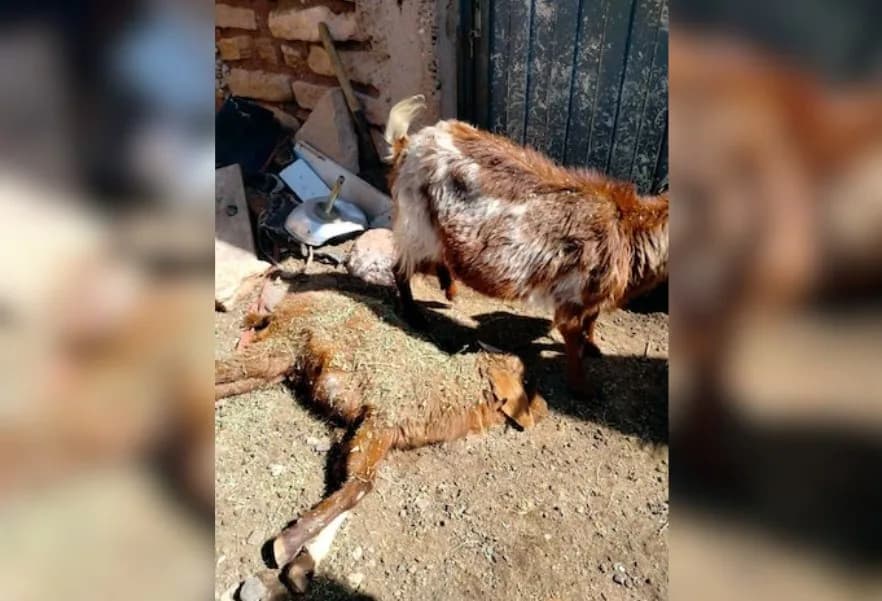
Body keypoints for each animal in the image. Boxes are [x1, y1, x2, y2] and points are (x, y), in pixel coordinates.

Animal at [385, 96, 669, 391]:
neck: (628, 227)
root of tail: (407, 144)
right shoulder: (571, 300)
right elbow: (574, 340)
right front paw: (583, 389)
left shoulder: (592, 300)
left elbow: (591, 323)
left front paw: (594, 348)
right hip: (417, 225)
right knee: (400, 268)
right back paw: (417, 315)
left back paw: (450, 291)